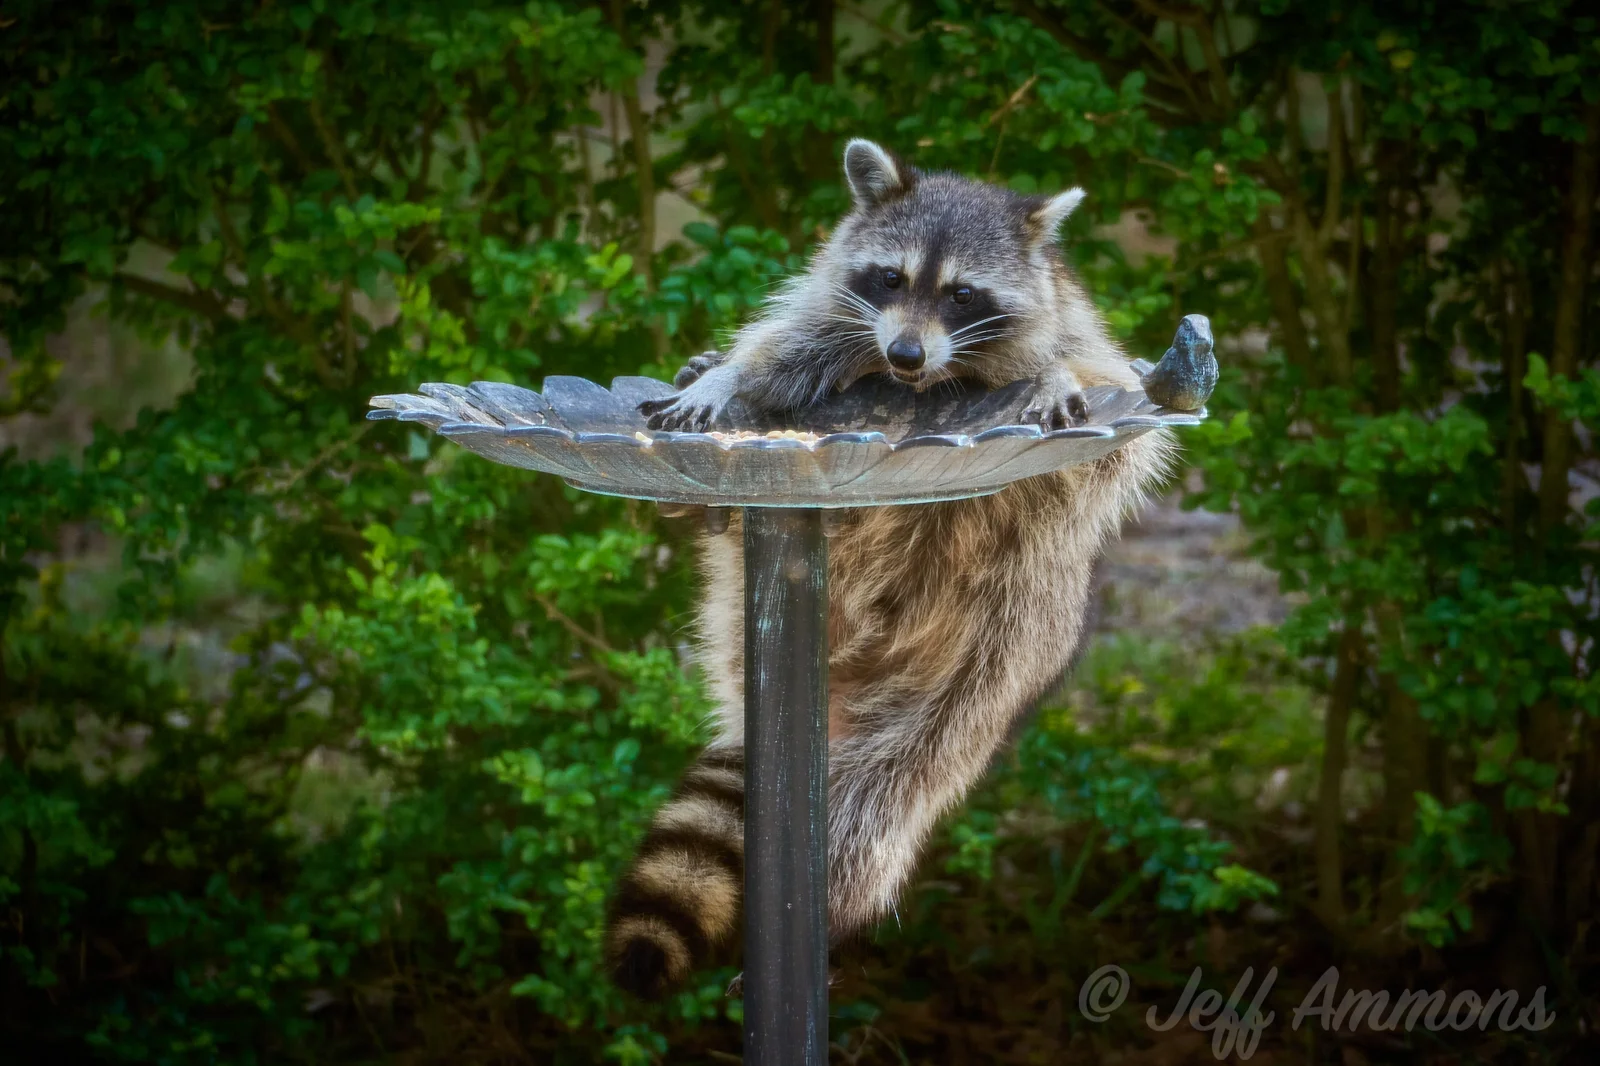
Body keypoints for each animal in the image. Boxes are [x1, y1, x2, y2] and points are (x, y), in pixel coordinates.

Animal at [606, 139, 1176, 998]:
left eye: (964, 294)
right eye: (891, 279)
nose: (904, 353)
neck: (933, 377)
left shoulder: (1084, 354)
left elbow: (1109, 425)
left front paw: (1054, 380)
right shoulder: (836, 318)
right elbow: (772, 354)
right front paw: (719, 376)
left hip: (982, 679)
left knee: (877, 809)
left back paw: (836, 908)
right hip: (740, 617)